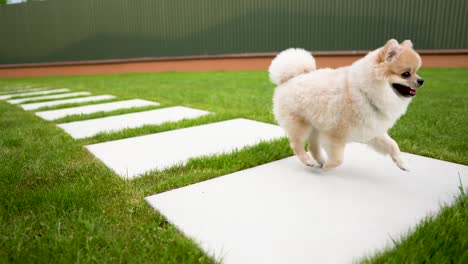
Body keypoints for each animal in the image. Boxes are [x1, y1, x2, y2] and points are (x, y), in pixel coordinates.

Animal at [268, 38, 422, 171]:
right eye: (406, 74)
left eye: (416, 72)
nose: (421, 80)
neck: (365, 92)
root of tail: (290, 78)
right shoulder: (335, 134)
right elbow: (338, 159)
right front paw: (329, 166)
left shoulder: (372, 129)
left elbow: (393, 144)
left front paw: (403, 163)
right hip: (300, 124)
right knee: (296, 144)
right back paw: (309, 161)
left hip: (315, 125)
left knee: (312, 146)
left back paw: (320, 161)